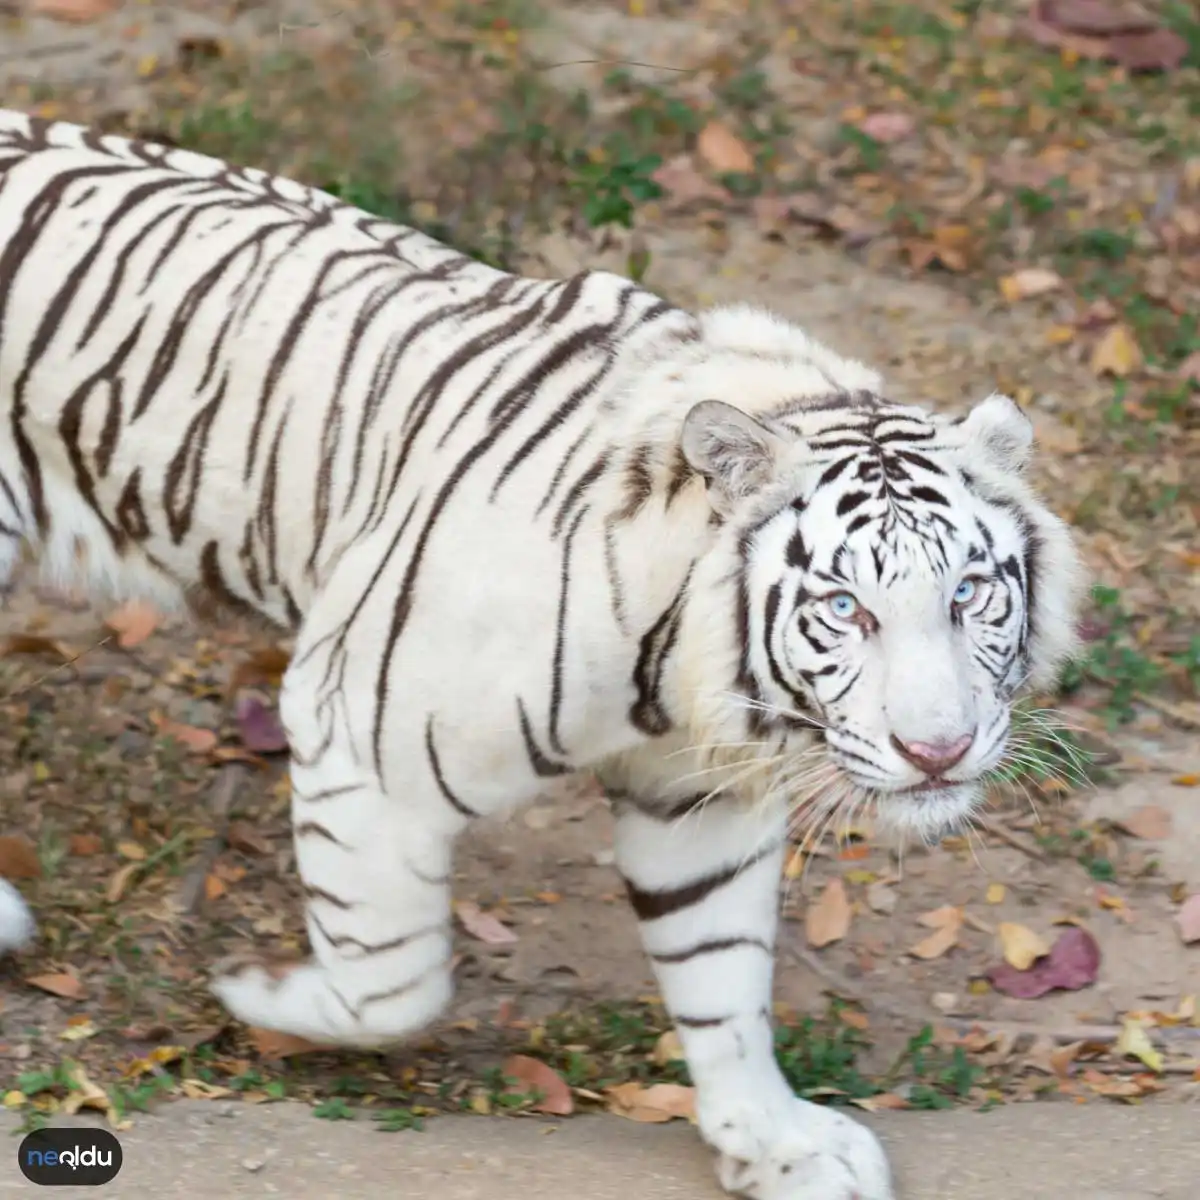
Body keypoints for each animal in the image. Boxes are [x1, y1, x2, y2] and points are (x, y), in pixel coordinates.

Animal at [0, 108, 1089, 1195]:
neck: (675, 673)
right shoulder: (357, 729)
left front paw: (775, 1144)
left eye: (969, 593)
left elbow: (722, 982)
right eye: (844, 607)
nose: (938, 753)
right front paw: (258, 992)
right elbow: (391, 978)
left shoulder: (696, 798)